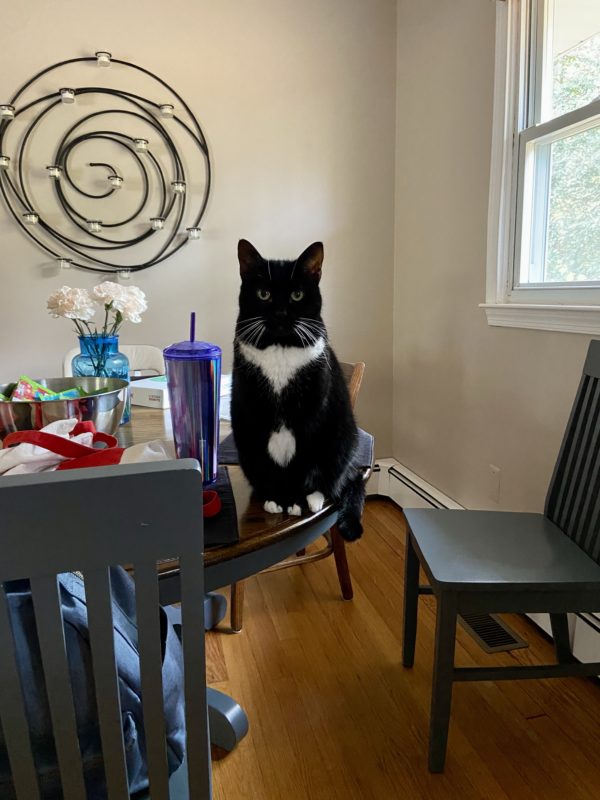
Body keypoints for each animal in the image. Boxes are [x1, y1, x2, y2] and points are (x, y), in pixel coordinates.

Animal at [231, 236, 364, 536]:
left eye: (297, 295)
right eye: (264, 294)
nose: (281, 313)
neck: (280, 348)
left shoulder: (311, 420)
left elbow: (301, 463)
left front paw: (293, 501)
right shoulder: (255, 416)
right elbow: (270, 463)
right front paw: (276, 499)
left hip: (343, 440)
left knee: (328, 479)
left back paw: (312, 497)